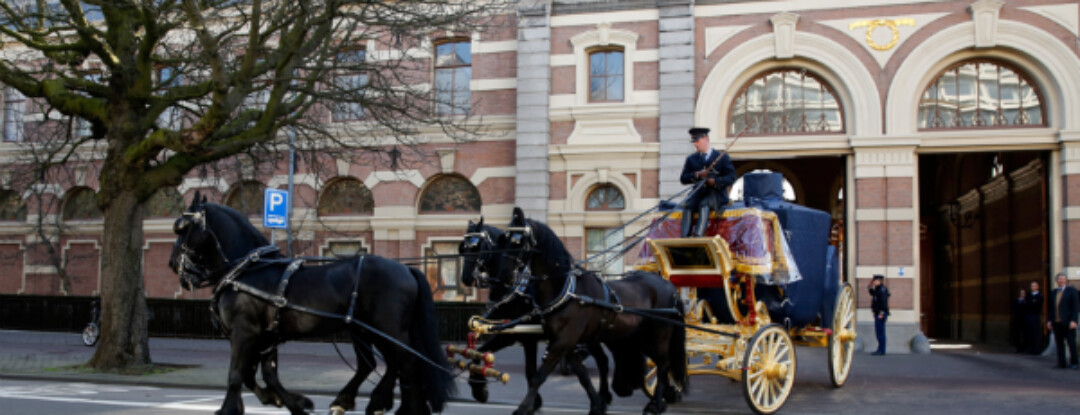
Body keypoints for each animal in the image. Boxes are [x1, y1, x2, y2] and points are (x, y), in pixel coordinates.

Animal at [167, 195, 451, 415]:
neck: (246, 270)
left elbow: (237, 373)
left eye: (182, 227)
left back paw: (398, 406)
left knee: (405, 362)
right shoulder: (266, 336)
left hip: (387, 329)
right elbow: (264, 375)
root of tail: (406, 268)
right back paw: (360, 402)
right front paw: (290, 402)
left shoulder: (243, 333)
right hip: (364, 330)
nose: (173, 263)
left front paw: (229, 409)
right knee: (379, 364)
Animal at [455, 217, 609, 408]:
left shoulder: (527, 337)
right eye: (463, 247)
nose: (466, 278)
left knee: (601, 361)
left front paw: (534, 401)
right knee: (601, 360)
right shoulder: (508, 333)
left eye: (477, 246)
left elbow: (530, 371)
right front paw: (479, 389)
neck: (516, 290)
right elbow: (479, 353)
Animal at [494, 207, 686, 415]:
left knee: (663, 364)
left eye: (517, 240)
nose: (504, 276)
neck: (567, 291)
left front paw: (523, 408)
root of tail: (668, 285)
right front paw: (597, 404)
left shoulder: (563, 342)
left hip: (657, 336)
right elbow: (583, 376)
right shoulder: (565, 343)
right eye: (503, 239)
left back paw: (657, 403)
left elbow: (539, 376)